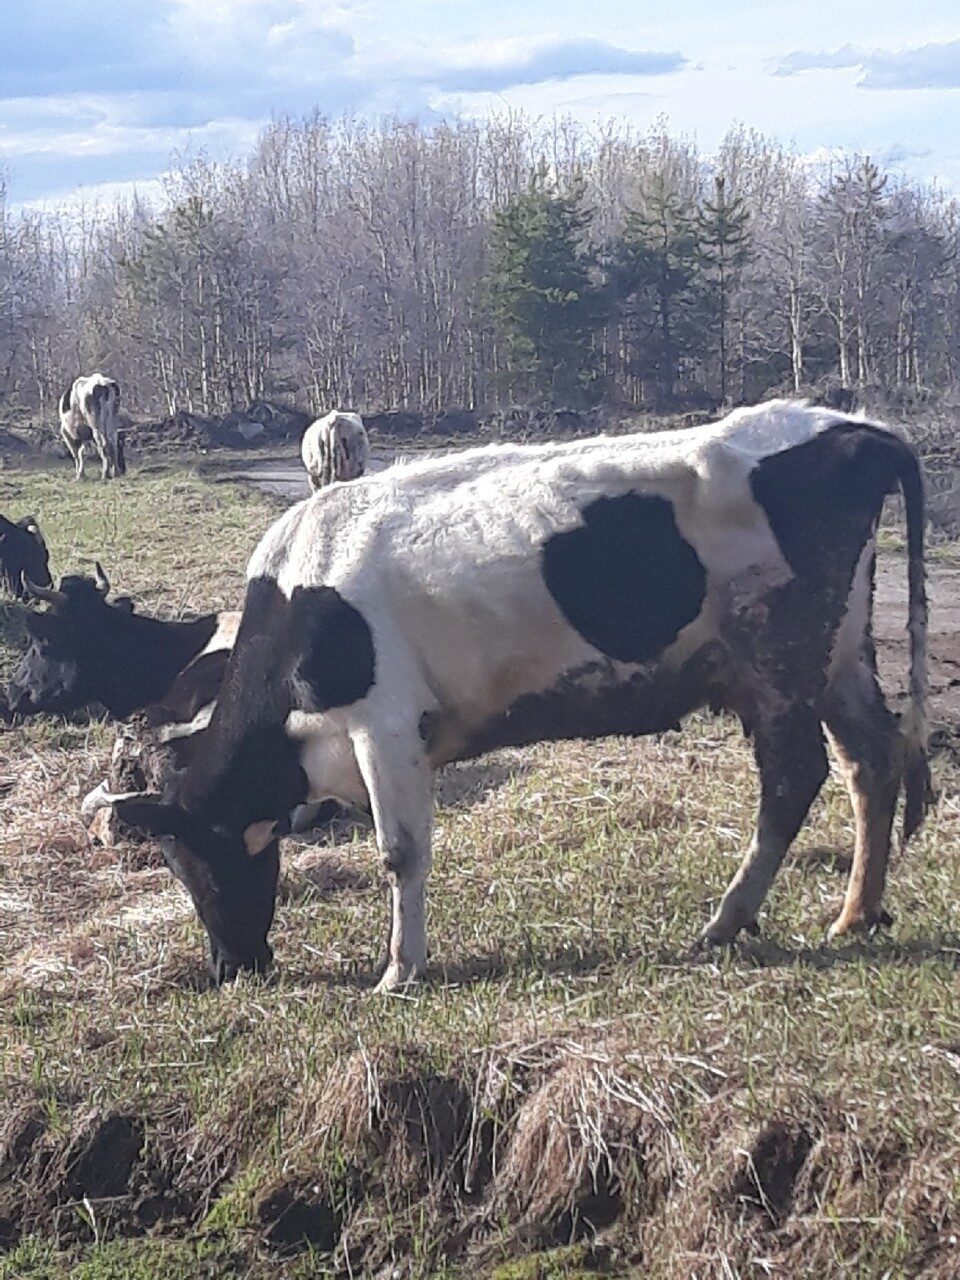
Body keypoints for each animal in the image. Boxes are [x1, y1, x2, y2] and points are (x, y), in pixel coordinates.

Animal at [112, 399, 931, 988]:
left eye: (197, 859)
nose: (230, 969)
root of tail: (854, 427)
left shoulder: (387, 722)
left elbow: (399, 851)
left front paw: (399, 972)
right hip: (838, 653)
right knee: (870, 759)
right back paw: (855, 915)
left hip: (779, 661)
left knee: (794, 779)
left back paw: (727, 922)